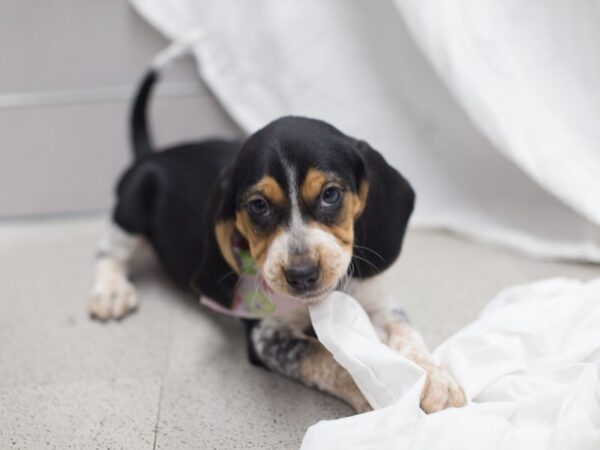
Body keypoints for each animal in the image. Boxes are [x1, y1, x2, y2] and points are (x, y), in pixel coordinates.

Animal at [88, 42, 464, 414]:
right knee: (109, 252)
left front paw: (435, 377)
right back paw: (111, 291)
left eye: (330, 195)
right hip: (132, 206)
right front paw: (376, 390)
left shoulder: (379, 302)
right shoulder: (267, 338)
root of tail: (152, 155)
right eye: (259, 206)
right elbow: (329, 357)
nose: (302, 274)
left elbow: (407, 331)